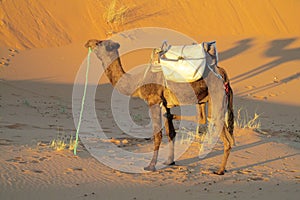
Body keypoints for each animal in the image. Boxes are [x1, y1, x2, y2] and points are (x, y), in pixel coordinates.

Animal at [84, 39, 234, 175]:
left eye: (98, 43)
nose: (88, 43)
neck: (137, 82)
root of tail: (222, 74)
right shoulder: (165, 104)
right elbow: (170, 133)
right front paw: (169, 161)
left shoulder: (153, 101)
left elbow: (157, 135)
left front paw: (150, 166)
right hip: (207, 98)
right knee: (206, 118)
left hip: (216, 93)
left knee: (221, 131)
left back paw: (220, 170)